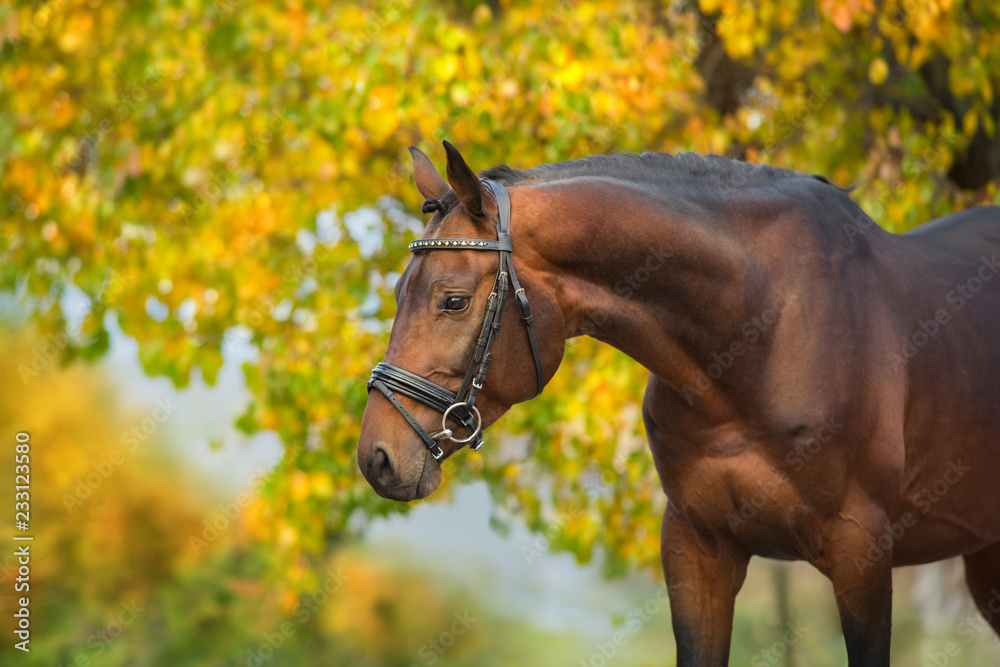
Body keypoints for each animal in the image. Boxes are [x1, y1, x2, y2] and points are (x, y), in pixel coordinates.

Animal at [356, 141, 1000, 666]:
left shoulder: (860, 549)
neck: (761, 334)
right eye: (398, 291)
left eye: (454, 301)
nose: (376, 457)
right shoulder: (696, 550)